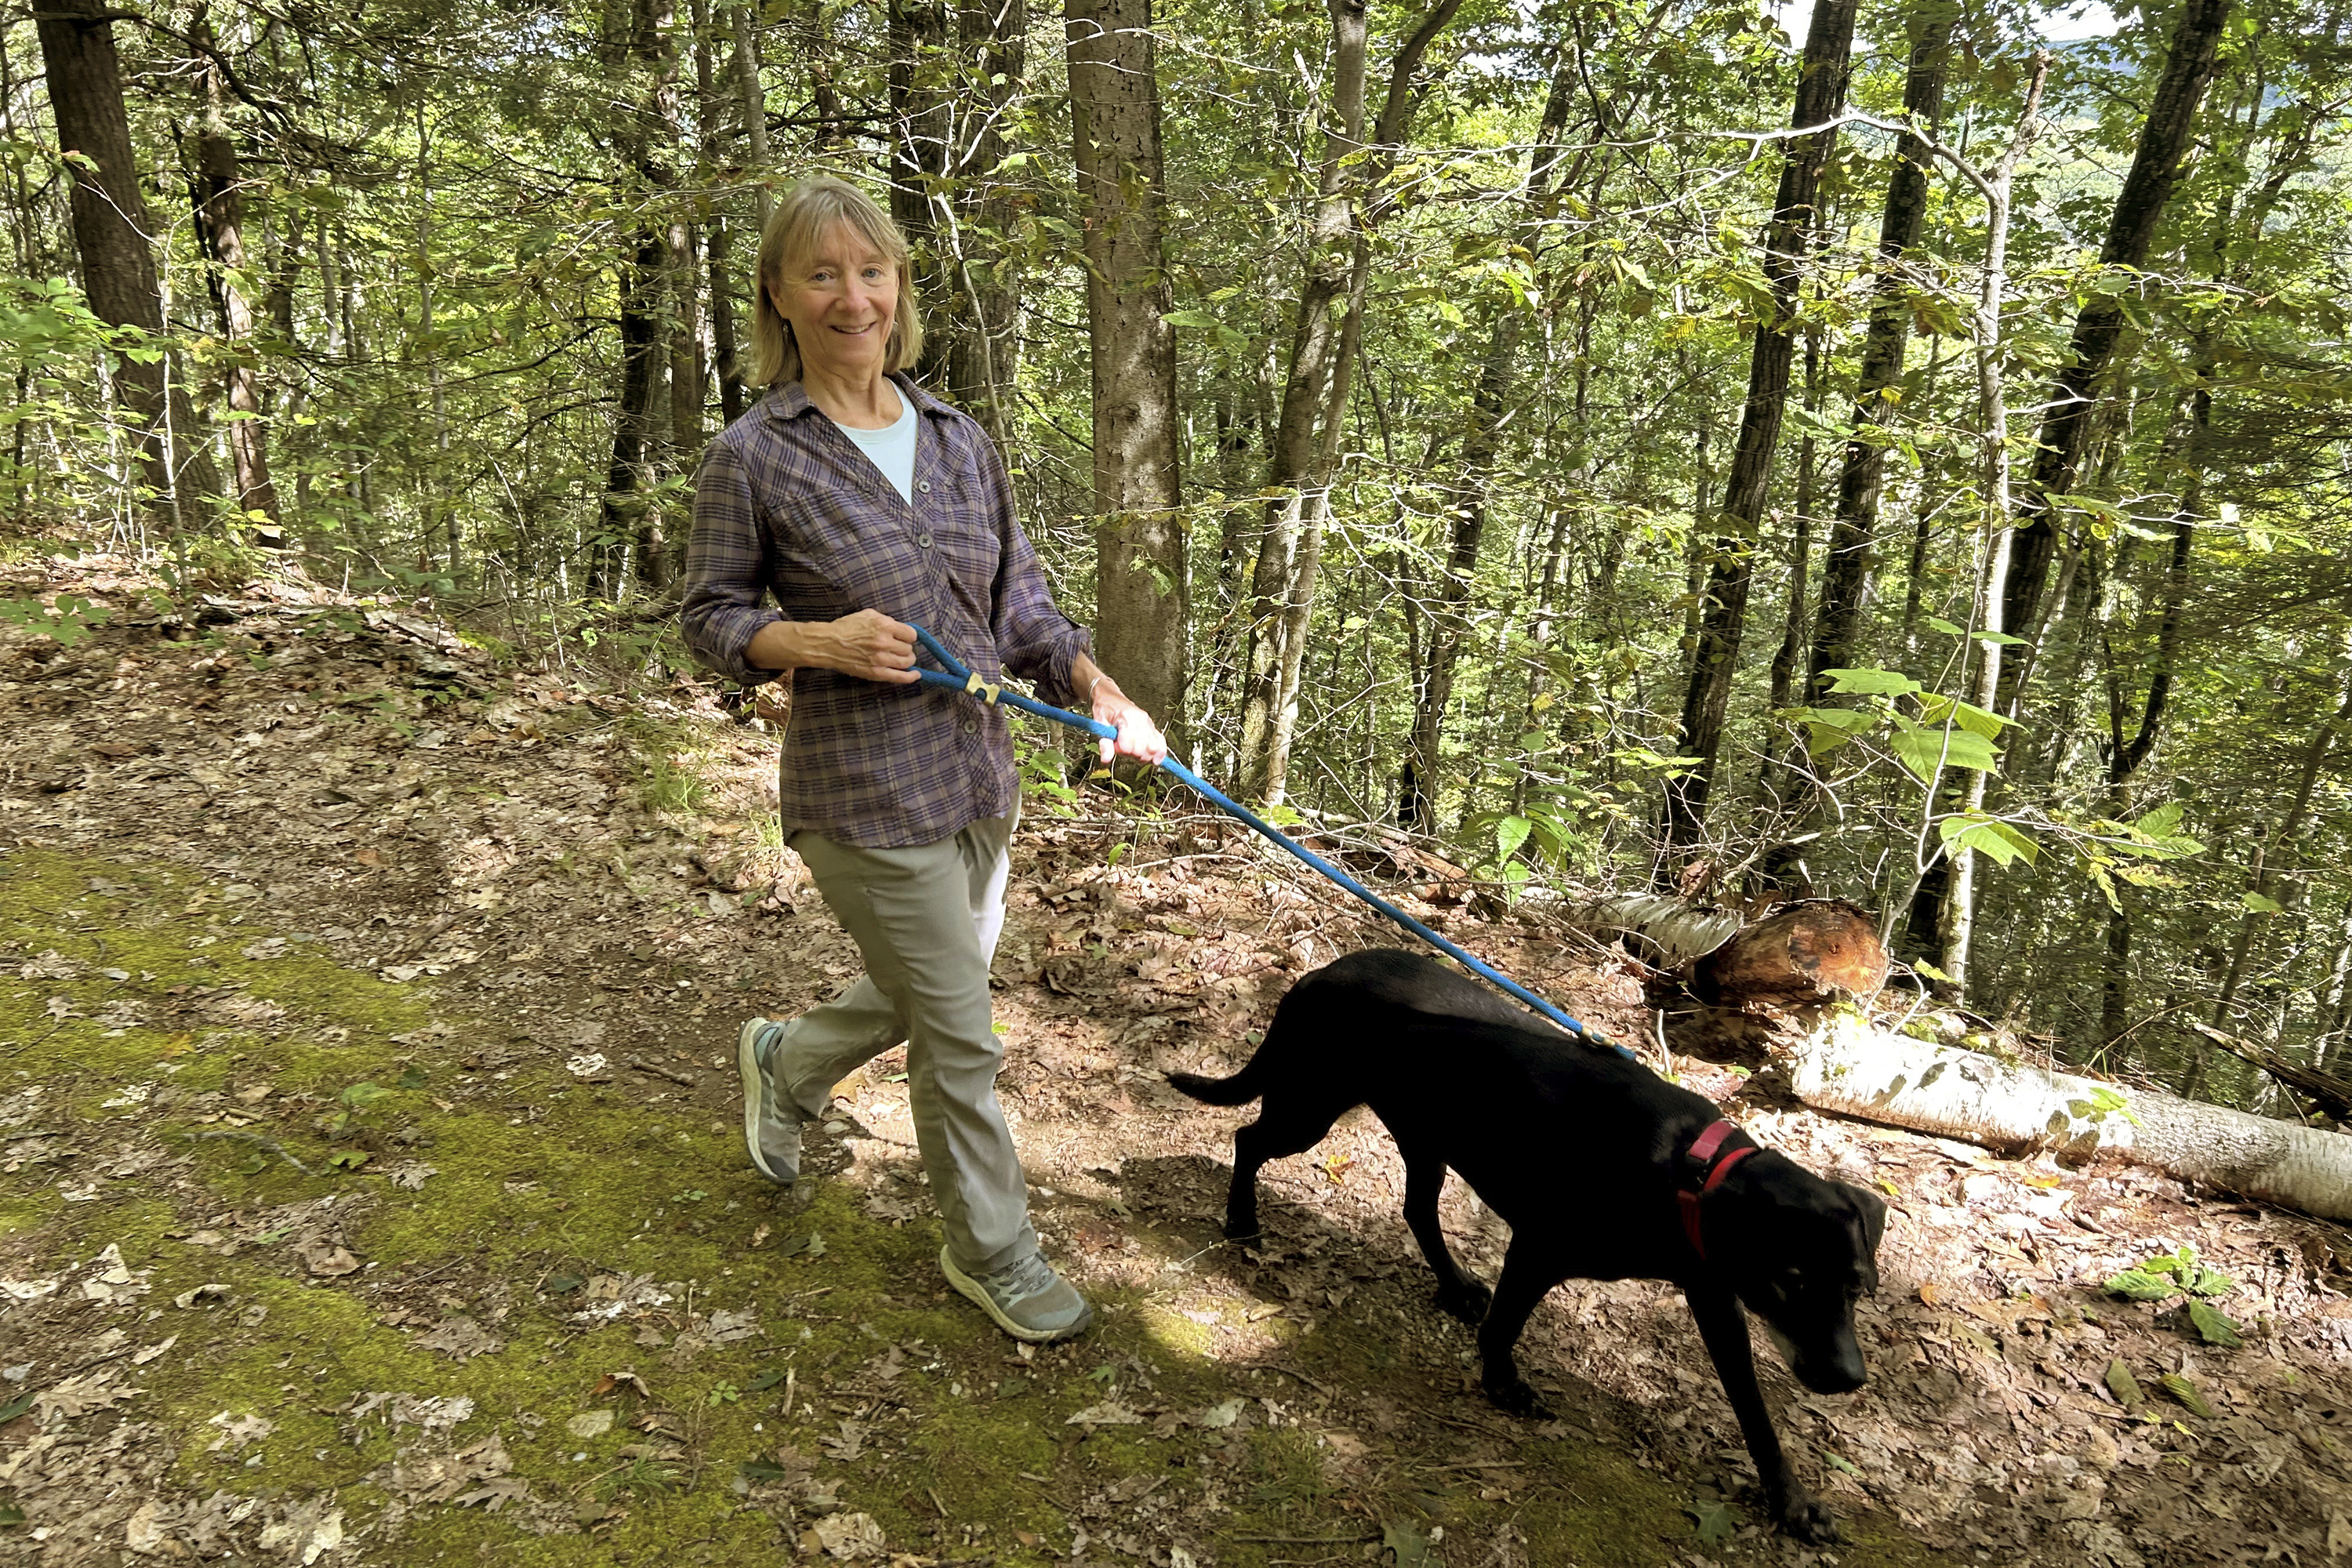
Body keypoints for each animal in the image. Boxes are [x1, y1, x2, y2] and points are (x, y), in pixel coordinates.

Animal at [1176, 949, 1891, 1542]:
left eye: (1857, 1286)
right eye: (1790, 1279)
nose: (1850, 1379)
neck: (1685, 1175)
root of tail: (1320, 973)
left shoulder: (1716, 1298)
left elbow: (1754, 1412)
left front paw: (1792, 1504)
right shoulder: (1539, 1248)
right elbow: (1505, 1326)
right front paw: (1502, 1384)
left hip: (1425, 1136)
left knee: (1416, 1210)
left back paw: (1455, 1285)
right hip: (1311, 1108)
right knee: (1248, 1139)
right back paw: (1241, 1219)